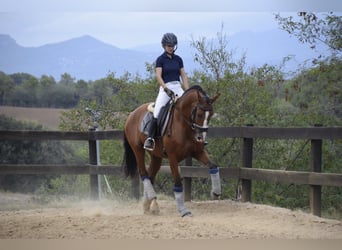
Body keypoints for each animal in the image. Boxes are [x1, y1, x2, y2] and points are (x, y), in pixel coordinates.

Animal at [124, 84, 220, 217]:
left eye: (211, 115)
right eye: (200, 114)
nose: (201, 138)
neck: (184, 124)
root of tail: (132, 114)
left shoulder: (197, 152)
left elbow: (213, 166)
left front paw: (216, 192)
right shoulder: (173, 157)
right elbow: (178, 183)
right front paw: (183, 210)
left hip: (156, 155)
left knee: (151, 176)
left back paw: (148, 206)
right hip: (138, 149)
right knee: (144, 173)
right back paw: (153, 201)